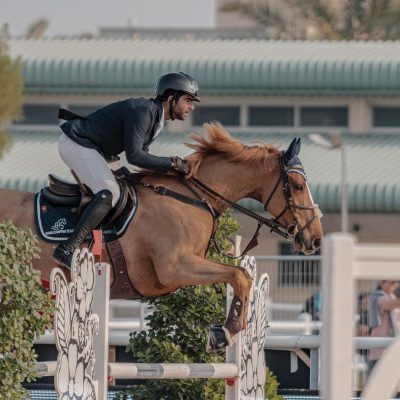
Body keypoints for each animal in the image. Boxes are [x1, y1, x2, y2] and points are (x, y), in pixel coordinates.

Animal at [0, 122, 322, 350]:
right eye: (296, 186)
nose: (315, 240)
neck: (194, 196)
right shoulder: (174, 268)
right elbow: (239, 276)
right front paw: (225, 332)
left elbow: (241, 274)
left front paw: (227, 330)